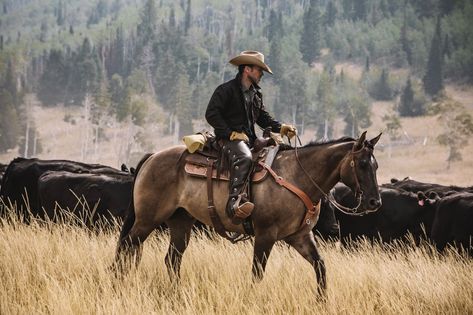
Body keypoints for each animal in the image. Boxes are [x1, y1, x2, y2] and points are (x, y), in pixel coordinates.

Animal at [112, 131, 382, 296]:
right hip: (147, 220)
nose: (374, 202)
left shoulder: (299, 236)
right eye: (362, 164)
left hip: (180, 222)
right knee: (126, 247)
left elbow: (320, 267)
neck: (297, 176)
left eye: (376, 165)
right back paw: (117, 283)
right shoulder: (265, 235)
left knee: (172, 259)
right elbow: (257, 273)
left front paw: (321, 301)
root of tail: (152, 158)